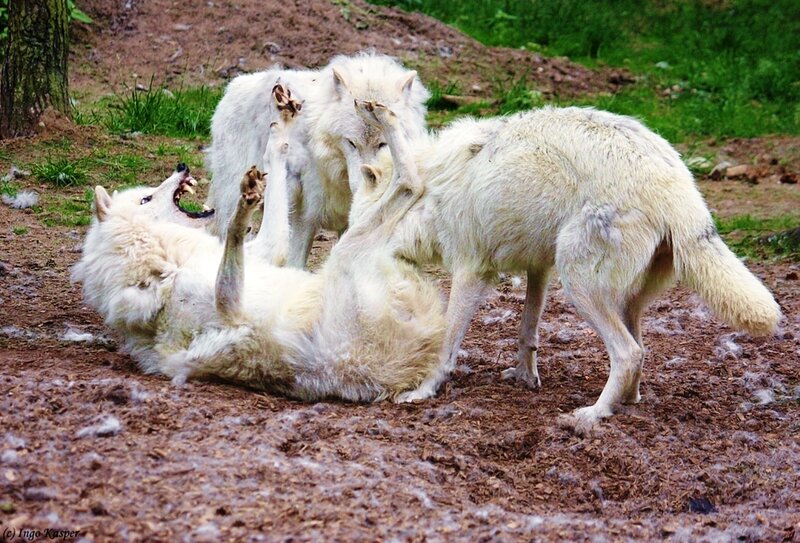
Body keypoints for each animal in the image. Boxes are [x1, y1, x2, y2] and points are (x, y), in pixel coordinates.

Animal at [71, 102, 444, 402]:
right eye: (146, 198)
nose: (181, 166)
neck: (164, 263)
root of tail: (419, 359)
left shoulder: (266, 251)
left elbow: (271, 204)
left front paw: (280, 131)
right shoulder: (231, 316)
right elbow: (232, 248)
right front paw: (243, 206)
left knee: (407, 185)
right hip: (345, 252)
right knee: (408, 184)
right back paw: (383, 117)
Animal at [204, 51, 429, 268]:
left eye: (383, 144)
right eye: (351, 143)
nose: (362, 187)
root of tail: (233, 86)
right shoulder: (306, 216)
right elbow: (295, 265)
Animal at [355, 101, 782, 432]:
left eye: (357, 223)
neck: (428, 194)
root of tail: (679, 187)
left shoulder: (471, 271)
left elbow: (447, 344)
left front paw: (423, 391)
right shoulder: (538, 267)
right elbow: (527, 331)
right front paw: (525, 378)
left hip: (579, 285)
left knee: (628, 353)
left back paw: (592, 414)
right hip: (618, 296)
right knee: (641, 350)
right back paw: (627, 401)